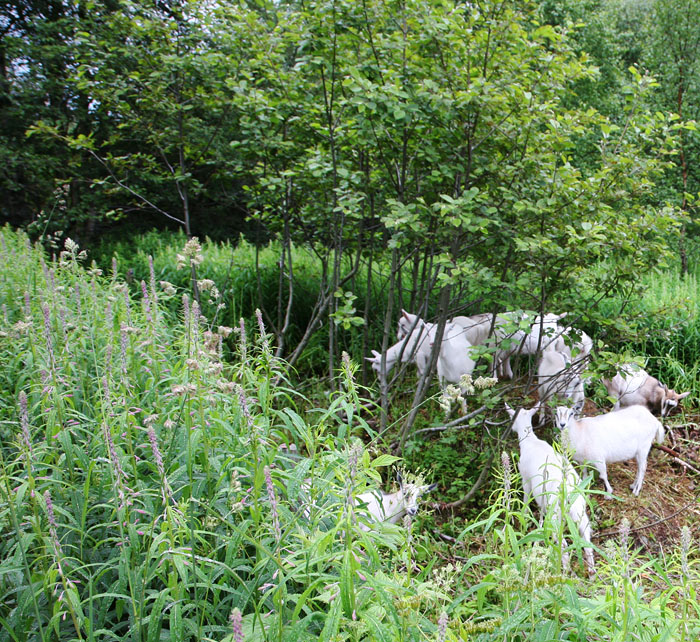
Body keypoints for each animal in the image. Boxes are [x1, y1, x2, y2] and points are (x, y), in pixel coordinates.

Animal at [506, 400, 592, 576]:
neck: (530, 441)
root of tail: (569, 496)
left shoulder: (525, 479)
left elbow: (526, 501)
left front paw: (524, 519)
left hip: (555, 517)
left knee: (563, 545)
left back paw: (563, 572)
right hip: (580, 513)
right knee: (587, 543)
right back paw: (592, 575)